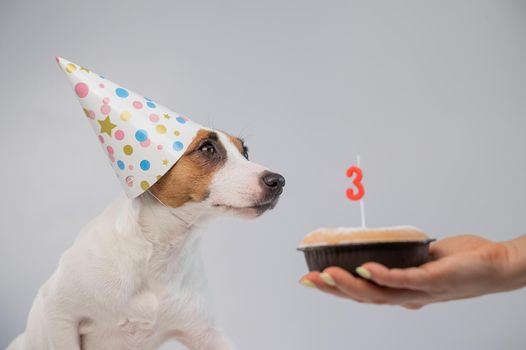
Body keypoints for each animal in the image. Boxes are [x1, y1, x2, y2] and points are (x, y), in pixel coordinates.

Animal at [8, 129, 286, 350]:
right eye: (207, 148)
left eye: (245, 152)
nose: (279, 181)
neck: (158, 252)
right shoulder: (60, 314)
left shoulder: (204, 332)